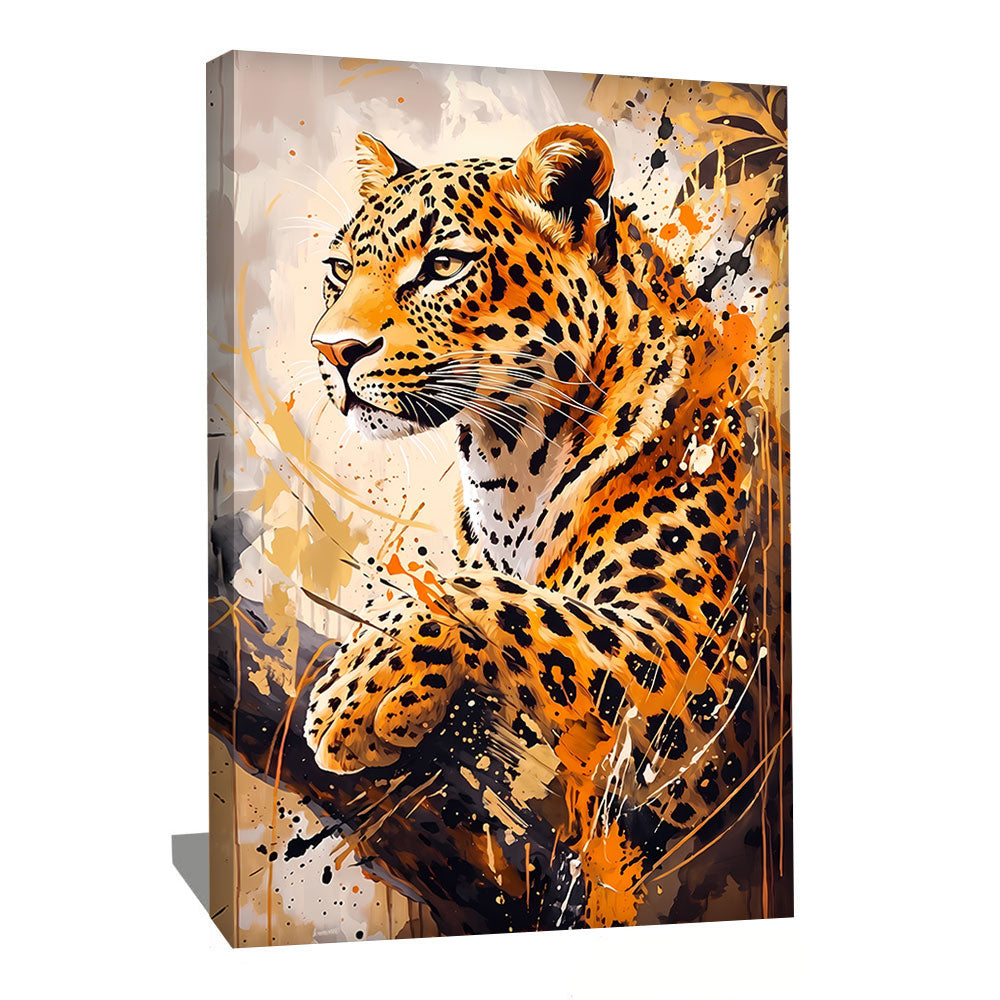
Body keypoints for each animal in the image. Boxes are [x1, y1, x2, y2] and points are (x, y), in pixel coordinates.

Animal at [303, 124, 786, 927]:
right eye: (340, 270)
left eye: (443, 265)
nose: (332, 351)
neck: (508, 468)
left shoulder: (703, 681)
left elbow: (498, 600)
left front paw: (358, 688)